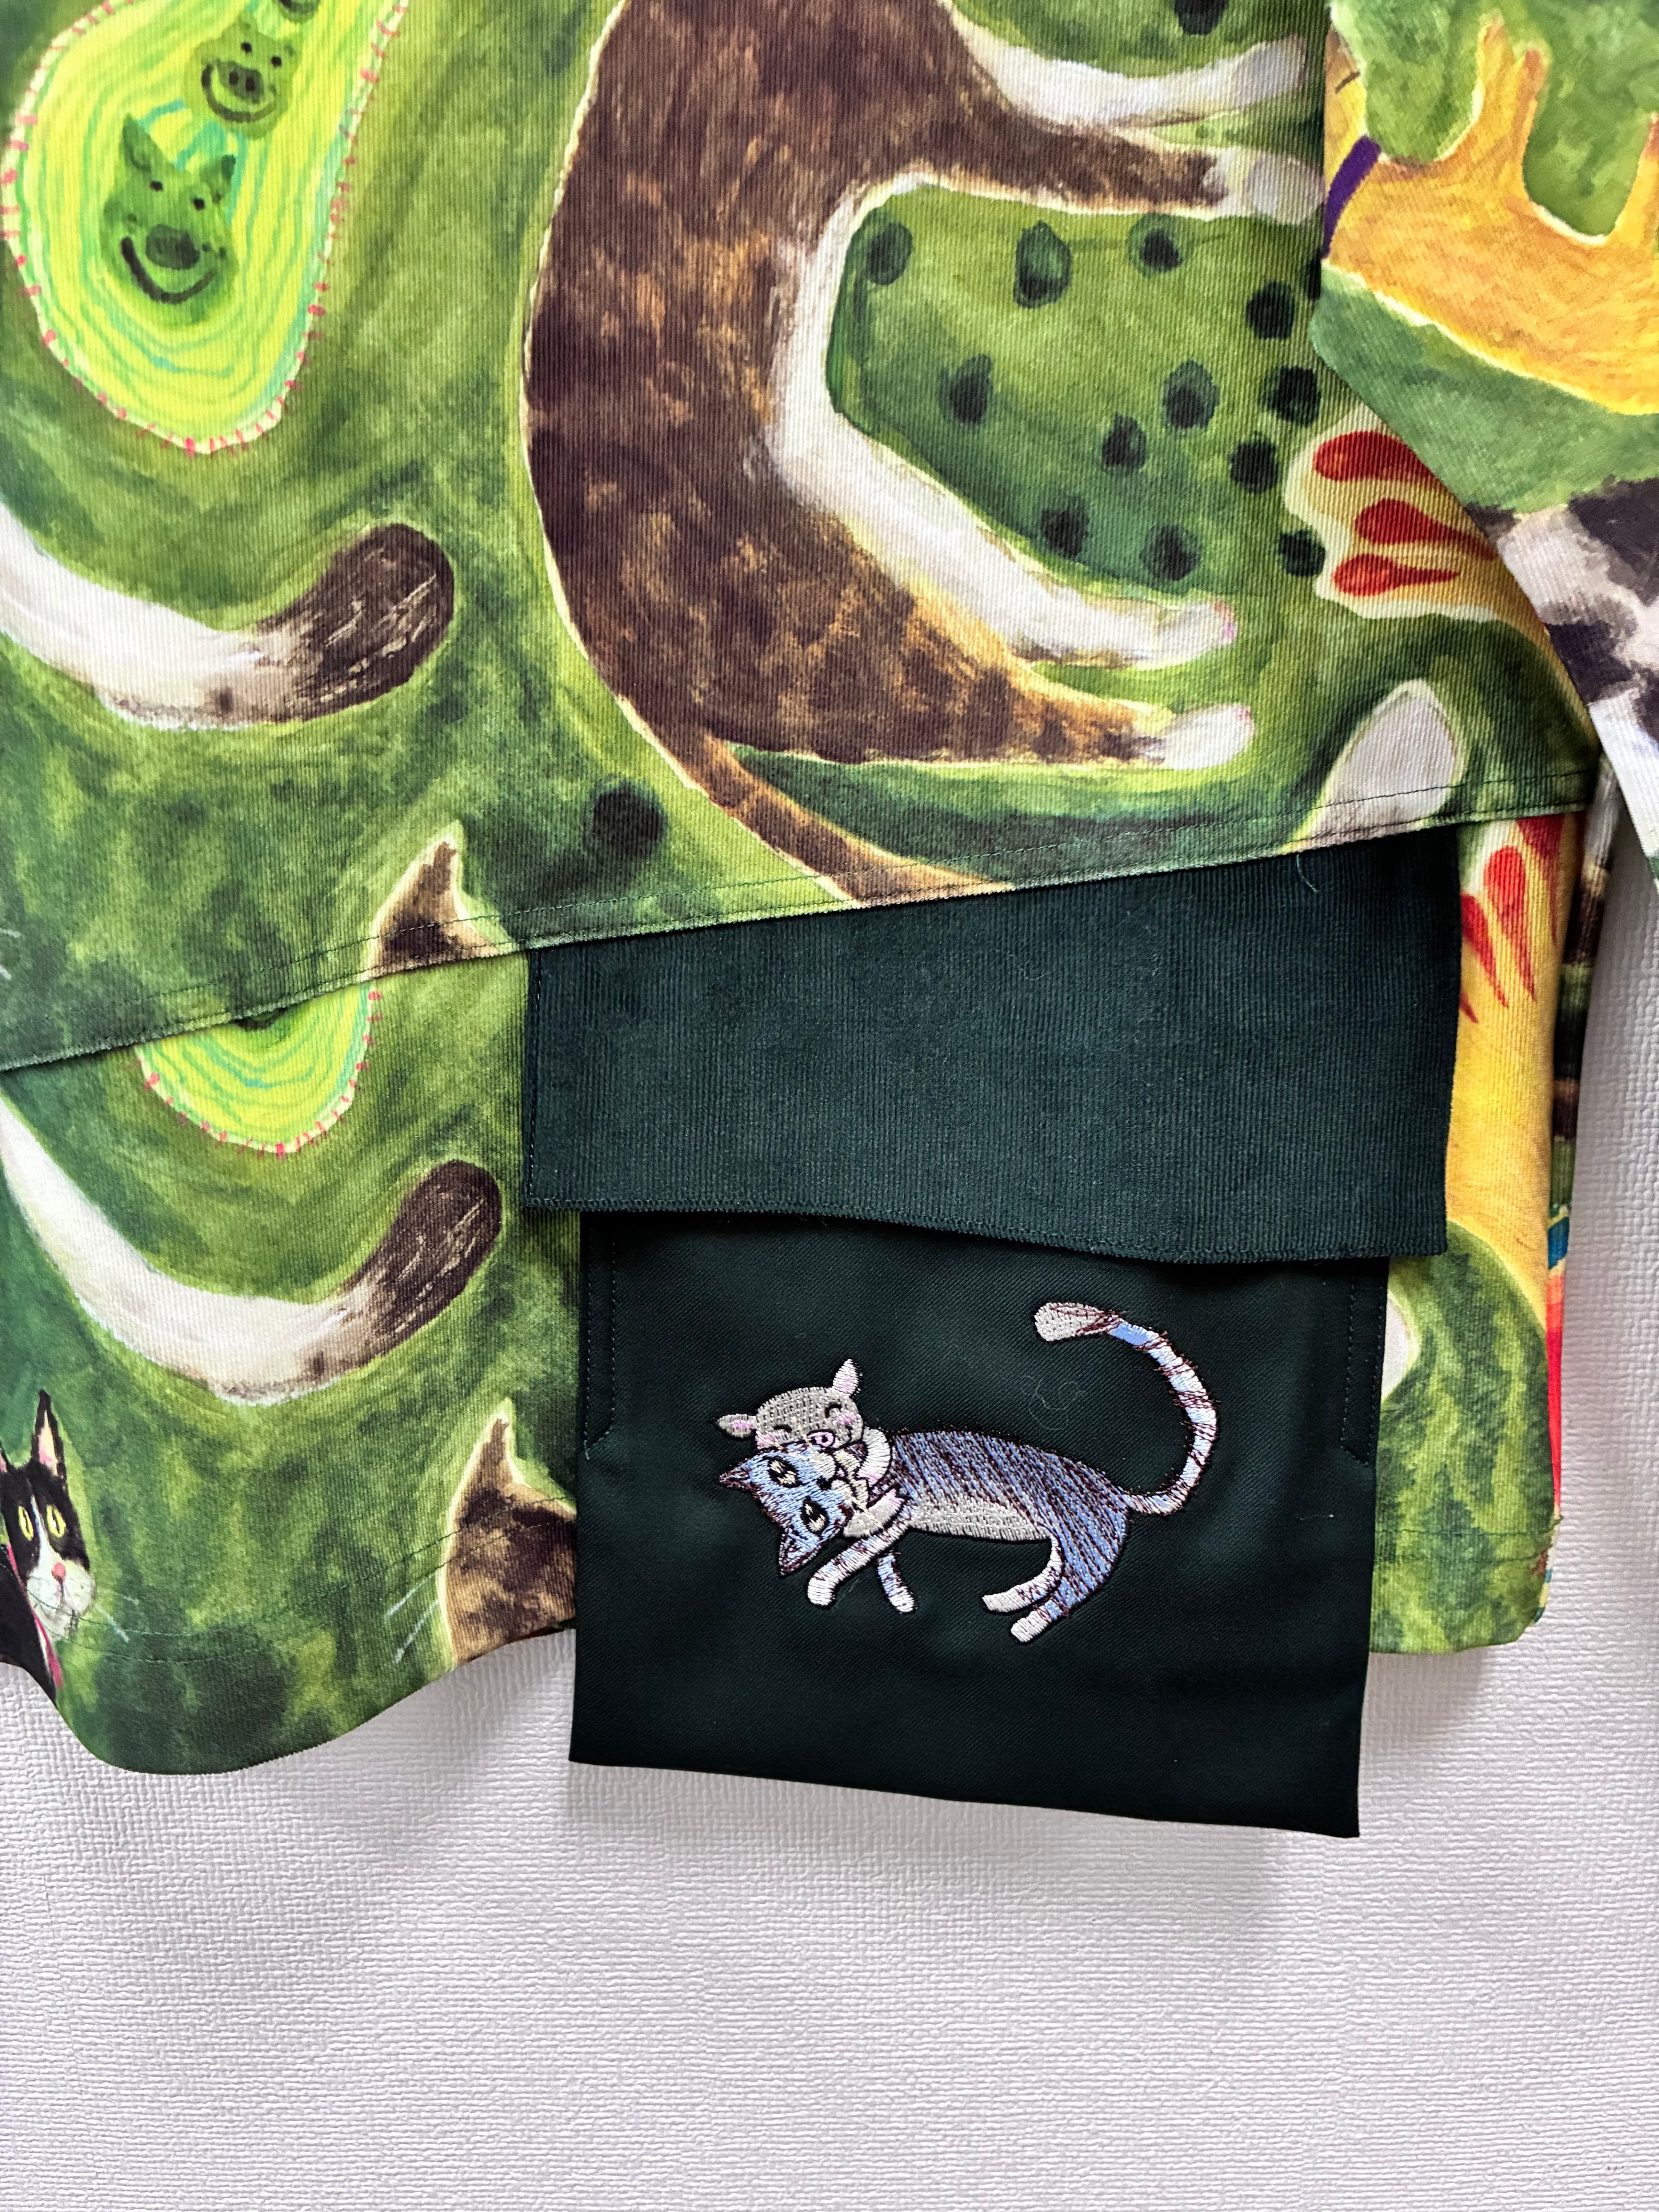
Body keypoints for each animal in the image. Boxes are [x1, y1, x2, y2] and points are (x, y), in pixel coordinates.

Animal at [525, 0, 1319, 900]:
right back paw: (1213, 729)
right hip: (849, 640)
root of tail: (605, 643)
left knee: (1037, 617)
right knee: (1036, 722)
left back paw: (1187, 627)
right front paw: (1285, 182)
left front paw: (1271, 67)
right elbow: (1141, 162)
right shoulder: (963, 121)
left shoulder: (981, 63)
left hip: (910, 520)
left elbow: (1106, 87)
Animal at [717, 1300, 1216, 1641]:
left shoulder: (897, 1504)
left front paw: (824, 1587)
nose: (825, 1443)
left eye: (834, 1410)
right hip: (1071, 1539)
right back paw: (1009, 1599)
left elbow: (855, 1553)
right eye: (782, 1434)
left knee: (1075, 1588)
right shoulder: (889, 1527)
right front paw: (899, 1598)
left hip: (1087, 1540)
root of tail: (1110, 1488)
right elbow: (878, 1558)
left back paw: (1027, 1625)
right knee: (1058, 1571)